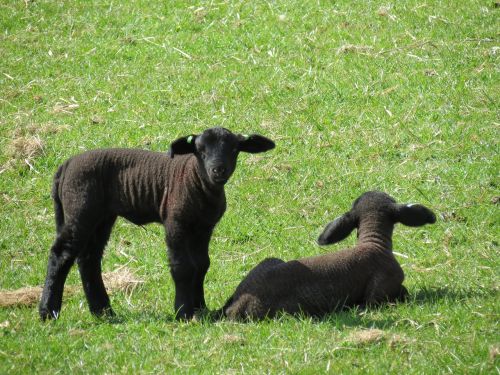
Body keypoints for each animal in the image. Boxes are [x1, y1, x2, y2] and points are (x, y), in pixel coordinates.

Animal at [38, 127, 274, 320]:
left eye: (234, 149)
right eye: (200, 150)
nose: (218, 170)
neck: (197, 181)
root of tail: (65, 166)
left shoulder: (203, 228)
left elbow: (202, 264)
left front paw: (201, 308)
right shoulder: (175, 223)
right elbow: (183, 266)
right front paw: (183, 312)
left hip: (101, 217)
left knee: (88, 259)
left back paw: (103, 311)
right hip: (81, 209)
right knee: (61, 254)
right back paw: (48, 312)